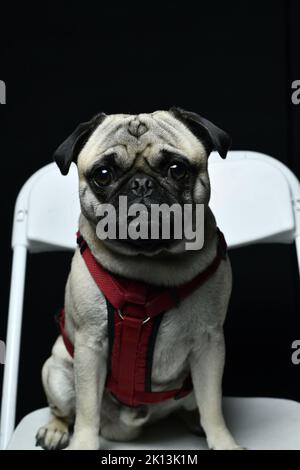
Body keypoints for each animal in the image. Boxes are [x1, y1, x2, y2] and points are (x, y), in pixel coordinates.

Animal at [35, 107, 241, 452]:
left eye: (177, 169)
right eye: (103, 174)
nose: (141, 183)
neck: (151, 262)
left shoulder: (209, 344)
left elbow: (212, 405)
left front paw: (223, 442)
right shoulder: (90, 345)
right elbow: (87, 413)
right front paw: (82, 443)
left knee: (196, 404)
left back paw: (193, 421)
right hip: (57, 372)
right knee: (64, 409)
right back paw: (55, 430)